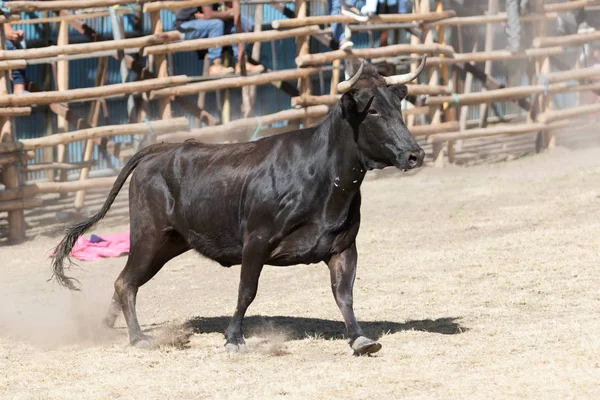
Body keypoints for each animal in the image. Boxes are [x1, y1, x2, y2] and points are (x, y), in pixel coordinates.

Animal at [50, 57, 426, 354]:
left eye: (397, 107)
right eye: (372, 110)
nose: (415, 154)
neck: (320, 176)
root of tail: (161, 150)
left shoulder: (344, 246)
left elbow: (343, 293)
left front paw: (360, 338)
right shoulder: (256, 241)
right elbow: (247, 290)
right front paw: (233, 339)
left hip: (170, 242)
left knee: (124, 281)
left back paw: (106, 326)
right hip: (148, 235)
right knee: (126, 282)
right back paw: (138, 338)